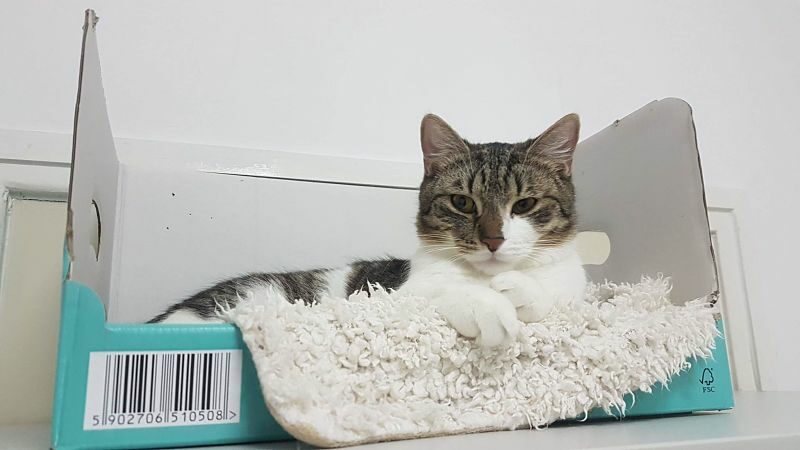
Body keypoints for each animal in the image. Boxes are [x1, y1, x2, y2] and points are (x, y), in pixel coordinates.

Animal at [150, 113, 587, 347]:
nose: (493, 239)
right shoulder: (396, 295)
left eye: (524, 205)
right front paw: (487, 305)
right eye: (462, 202)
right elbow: (439, 293)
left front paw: (521, 290)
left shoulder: (573, 288)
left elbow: (556, 296)